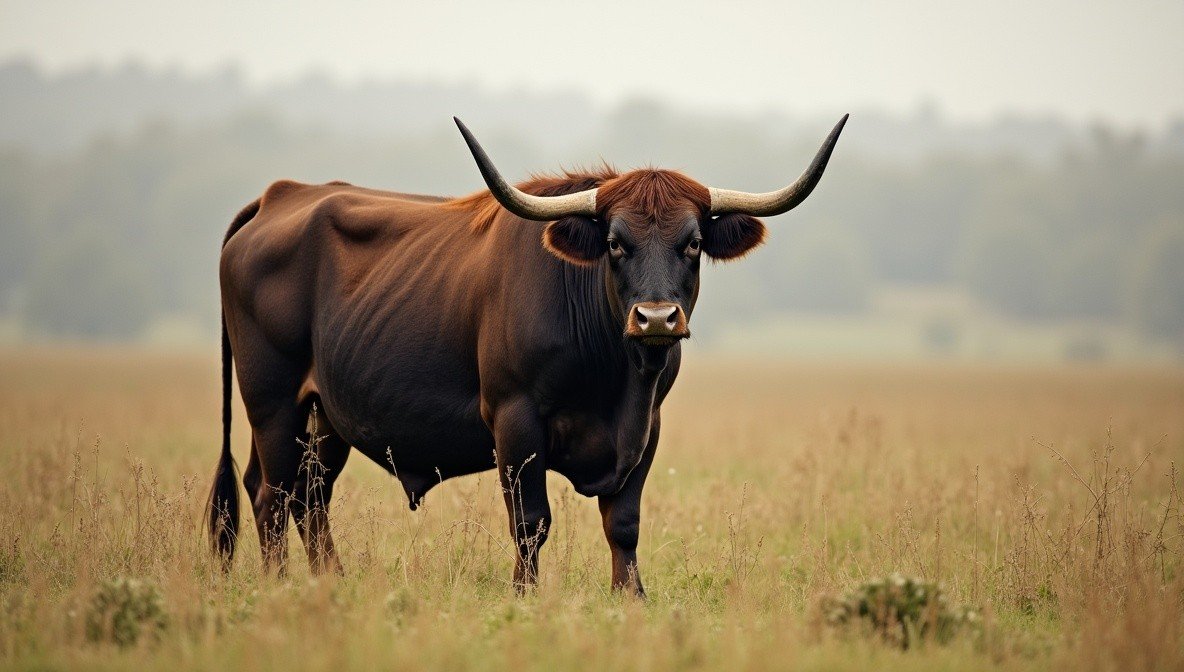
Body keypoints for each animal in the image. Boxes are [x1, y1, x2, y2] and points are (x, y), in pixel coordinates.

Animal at [207, 115, 848, 594]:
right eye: (615, 242)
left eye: (692, 243)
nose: (657, 318)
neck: (616, 379)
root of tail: (280, 196)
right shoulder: (515, 421)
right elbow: (531, 522)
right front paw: (525, 596)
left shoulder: (648, 428)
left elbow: (624, 523)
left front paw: (631, 598)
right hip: (273, 404)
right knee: (272, 495)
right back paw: (281, 586)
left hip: (325, 415)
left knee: (308, 498)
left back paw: (330, 583)